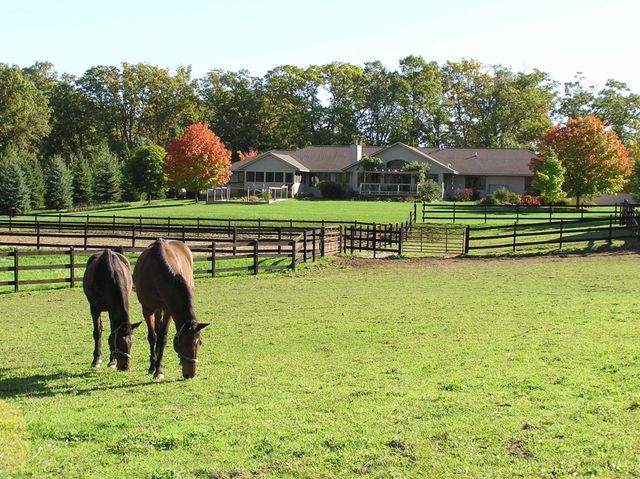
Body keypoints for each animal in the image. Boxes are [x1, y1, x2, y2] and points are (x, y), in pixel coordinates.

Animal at [132, 239, 209, 379]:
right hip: (156, 309)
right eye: (183, 344)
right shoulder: (147, 309)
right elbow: (152, 336)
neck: (156, 272)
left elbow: (163, 338)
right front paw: (153, 368)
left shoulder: (169, 310)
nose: (190, 375)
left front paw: (159, 369)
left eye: (199, 343)